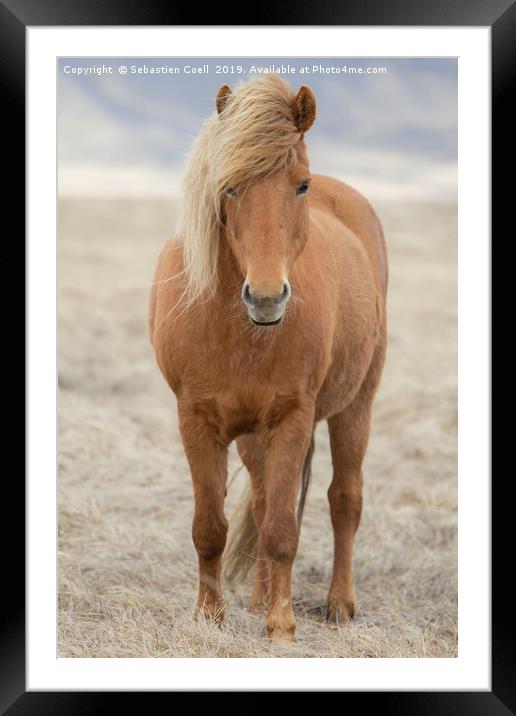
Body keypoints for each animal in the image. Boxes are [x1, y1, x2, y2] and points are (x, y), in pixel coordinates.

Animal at [149, 75, 388, 640]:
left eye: (300, 186)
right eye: (229, 187)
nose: (265, 298)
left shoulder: (293, 417)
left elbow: (283, 528)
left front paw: (281, 626)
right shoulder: (197, 420)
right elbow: (212, 527)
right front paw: (209, 616)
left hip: (355, 405)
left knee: (344, 499)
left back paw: (339, 604)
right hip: (252, 435)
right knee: (260, 502)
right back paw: (258, 598)